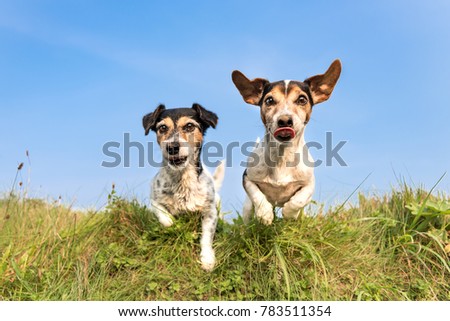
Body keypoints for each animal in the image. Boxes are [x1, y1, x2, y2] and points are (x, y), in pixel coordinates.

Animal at [142, 103, 225, 270]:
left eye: (189, 126)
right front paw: (171, 222)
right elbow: (163, 215)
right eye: (162, 128)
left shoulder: (210, 212)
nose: (172, 147)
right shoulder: (154, 200)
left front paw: (207, 259)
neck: (182, 179)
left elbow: (206, 237)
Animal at [232, 60, 342, 225]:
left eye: (302, 99)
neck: (282, 157)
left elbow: (298, 200)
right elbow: (257, 196)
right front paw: (264, 214)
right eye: (269, 100)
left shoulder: (309, 183)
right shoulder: (247, 178)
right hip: (247, 208)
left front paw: (290, 213)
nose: (284, 120)